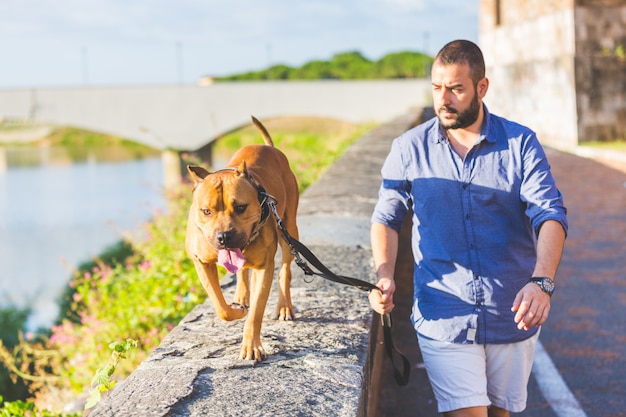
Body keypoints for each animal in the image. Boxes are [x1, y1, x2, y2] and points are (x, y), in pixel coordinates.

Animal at [184, 115, 298, 360]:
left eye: (241, 207)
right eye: (206, 211)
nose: (224, 237)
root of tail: (269, 147)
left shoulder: (264, 268)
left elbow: (256, 313)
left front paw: (251, 345)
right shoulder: (201, 261)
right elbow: (221, 307)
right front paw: (237, 309)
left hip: (289, 229)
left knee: (285, 270)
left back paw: (284, 306)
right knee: (242, 273)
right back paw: (242, 295)